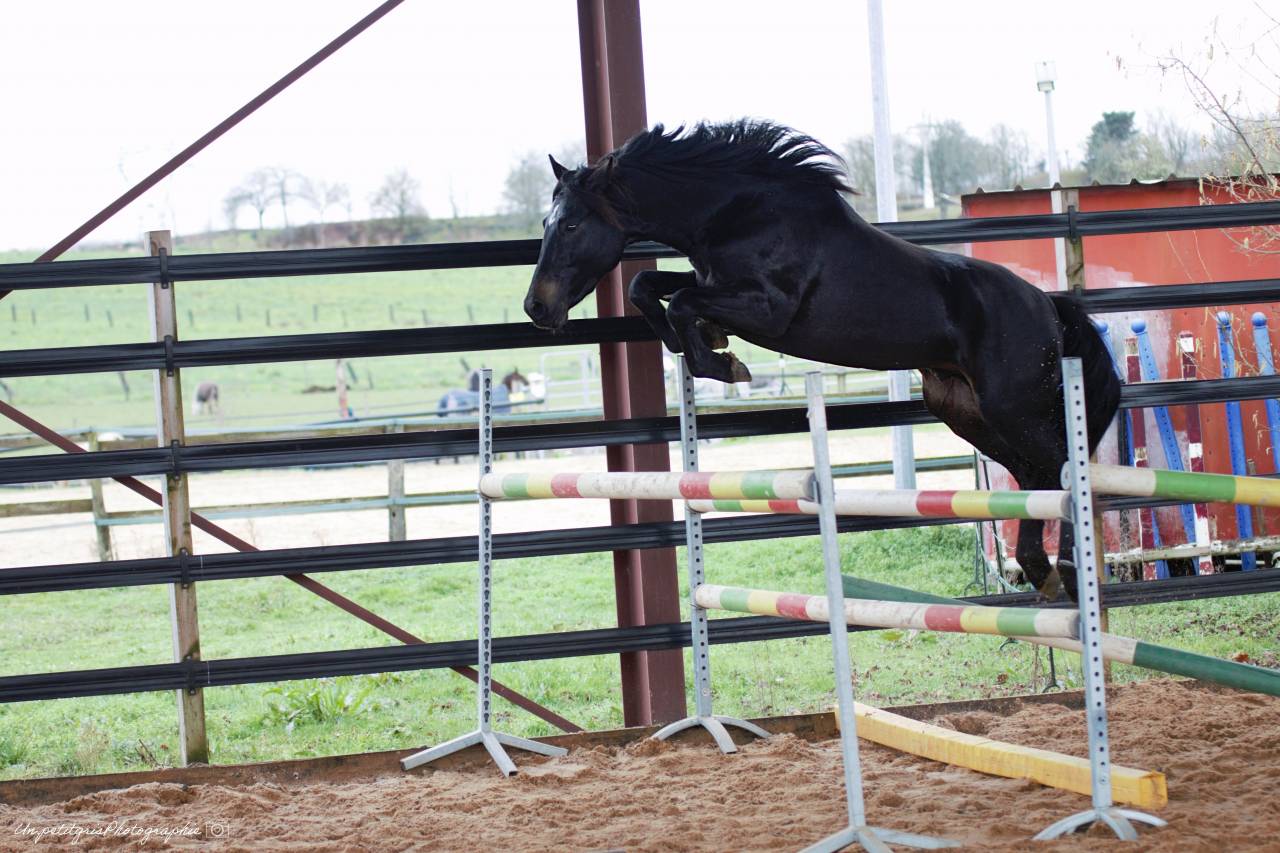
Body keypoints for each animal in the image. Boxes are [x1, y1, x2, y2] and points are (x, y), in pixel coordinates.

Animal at [521, 120, 1120, 601]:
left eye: (571, 225)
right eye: (548, 224)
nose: (536, 307)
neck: (738, 214)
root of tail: (1048, 307)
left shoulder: (768, 310)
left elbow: (685, 301)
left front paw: (722, 362)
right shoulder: (714, 281)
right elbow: (649, 285)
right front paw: (702, 346)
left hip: (1013, 409)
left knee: (1063, 465)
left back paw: (1068, 572)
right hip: (965, 411)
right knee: (1034, 473)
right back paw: (1040, 570)